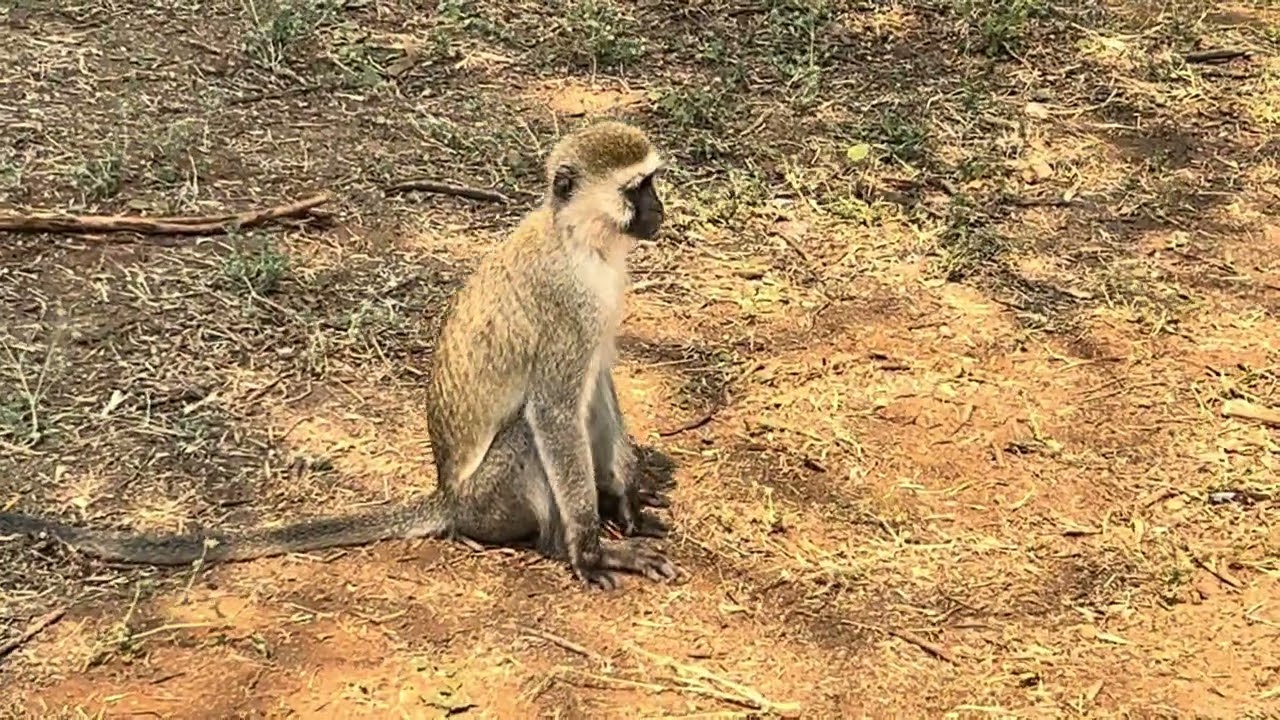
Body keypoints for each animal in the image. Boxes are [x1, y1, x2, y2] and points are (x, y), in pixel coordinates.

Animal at [0, 120, 677, 591]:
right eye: (636, 189)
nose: (660, 210)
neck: (583, 243)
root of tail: (446, 500)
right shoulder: (566, 306)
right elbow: (555, 412)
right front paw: (591, 549)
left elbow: (600, 386)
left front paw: (623, 500)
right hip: (489, 501)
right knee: (524, 439)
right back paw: (558, 545)